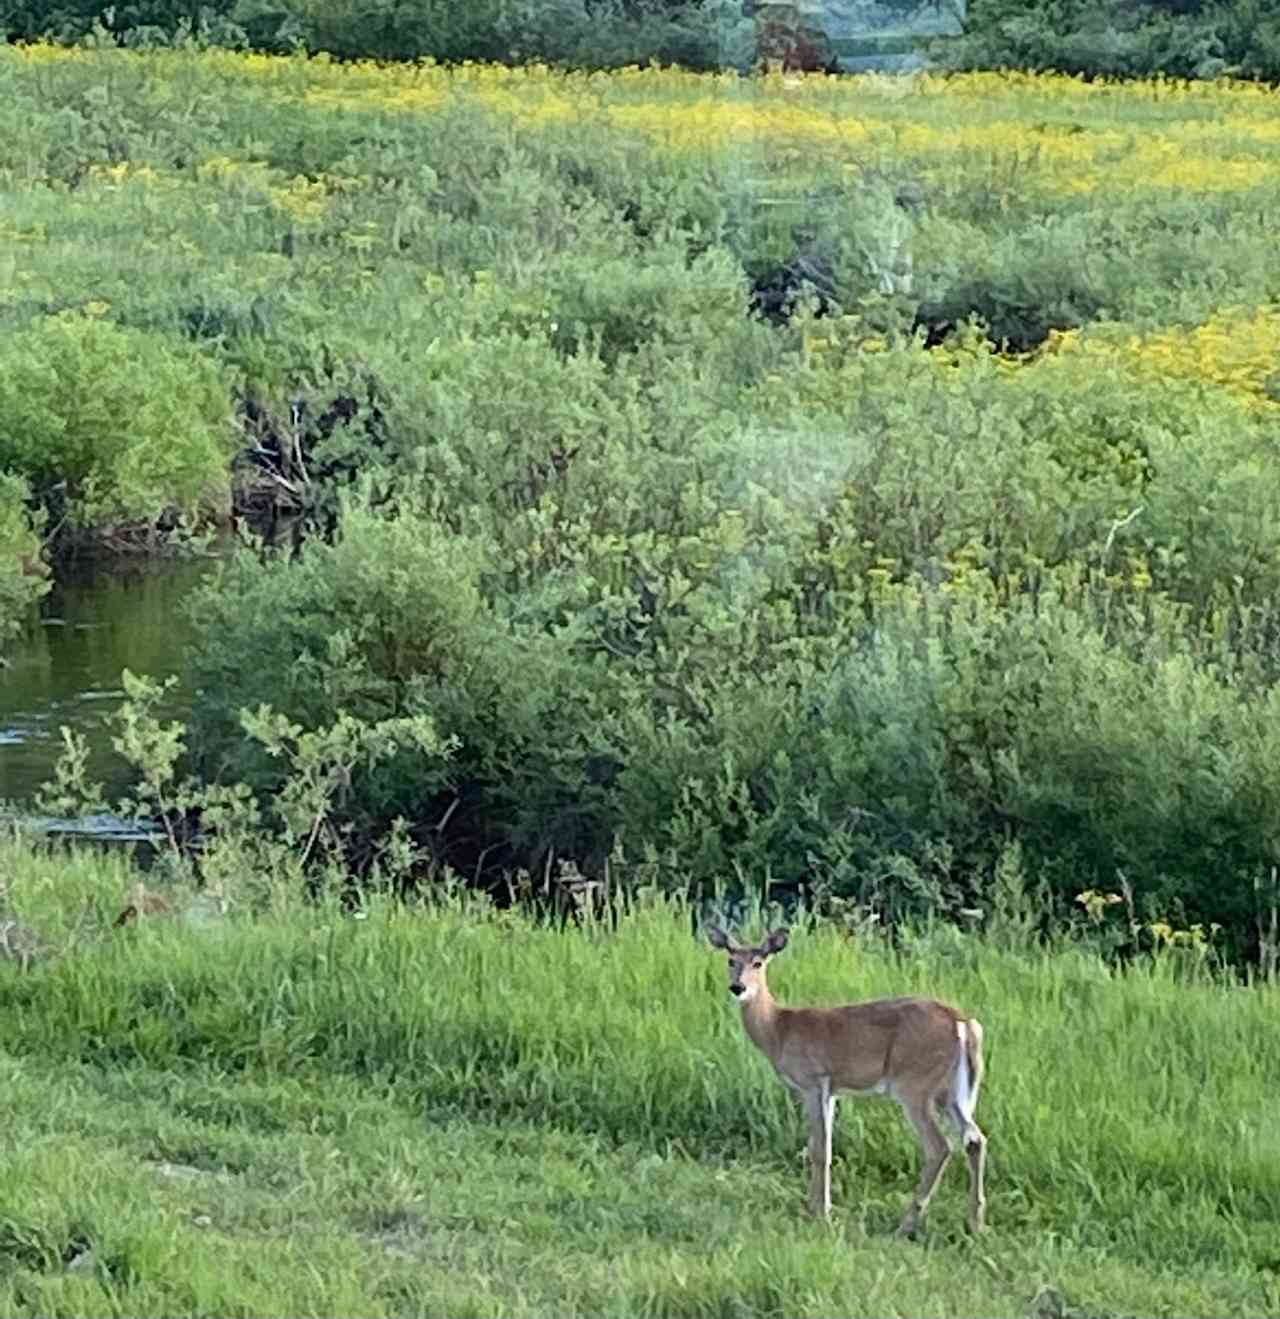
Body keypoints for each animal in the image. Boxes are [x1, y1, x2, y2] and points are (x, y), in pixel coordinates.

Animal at [702, 928, 981, 1234]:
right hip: (952, 1092)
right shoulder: (831, 1090)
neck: (778, 1029)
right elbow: (824, 1144)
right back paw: (976, 1223)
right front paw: (819, 1207)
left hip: (914, 1084)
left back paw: (906, 1225)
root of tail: (962, 1023)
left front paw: (820, 1213)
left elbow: (820, 1149)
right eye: (731, 960)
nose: (738, 987)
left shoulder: (813, 1081)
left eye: (758, 963)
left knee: (940, 1146)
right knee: (975, 1139)